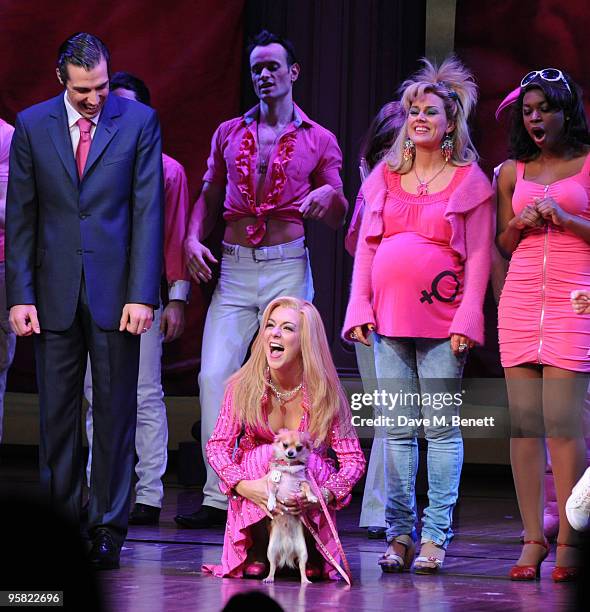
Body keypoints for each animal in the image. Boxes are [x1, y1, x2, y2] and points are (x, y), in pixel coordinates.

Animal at [264, 428, 320, 584]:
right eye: (285, 445)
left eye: (299, 448)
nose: (290, 453)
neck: (289, 467)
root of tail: (287, 549)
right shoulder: (272, 481)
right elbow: (272, 492)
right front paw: (271, 503)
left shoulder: (303, 482)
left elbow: (307, 488)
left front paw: (312, 497)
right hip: (271, 550)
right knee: (273, 565)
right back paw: (269, 578)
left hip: (303, 551)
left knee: (301, 566)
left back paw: (305, 581)